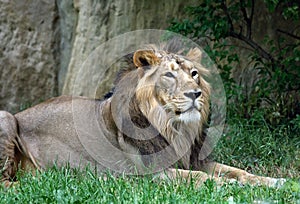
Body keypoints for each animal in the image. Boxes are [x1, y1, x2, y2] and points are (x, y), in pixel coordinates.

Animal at [0, 44, 284, 186]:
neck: (174, 127)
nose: (195, 94)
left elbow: (237, 171)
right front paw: (229, 187)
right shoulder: (150, 173)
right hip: (6, 117)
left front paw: (274, 181)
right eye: (169, 75)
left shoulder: (194, 159)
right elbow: (202, 178)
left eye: (194, 74)